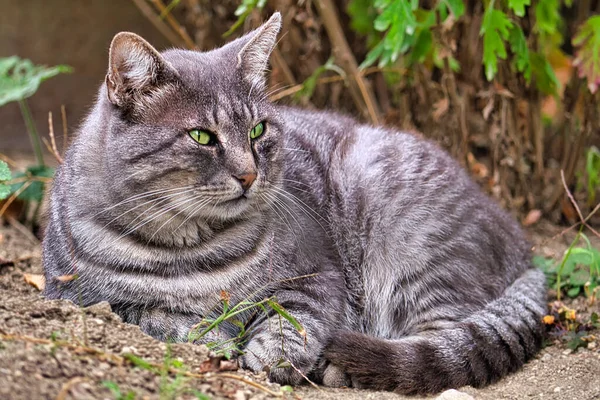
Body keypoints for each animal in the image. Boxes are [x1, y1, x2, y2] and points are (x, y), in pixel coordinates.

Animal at [42, 11, 548, 394]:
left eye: (258, 130)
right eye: (202, 137)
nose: (248, 174)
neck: (189, 248)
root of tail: (519, 239)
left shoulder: (318, 276)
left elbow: (294, 321)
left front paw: (269, 356)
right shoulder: (77, 298)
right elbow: (158, 317)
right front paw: (213, 336)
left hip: (414, 250)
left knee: (442, 338)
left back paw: (342, 366)